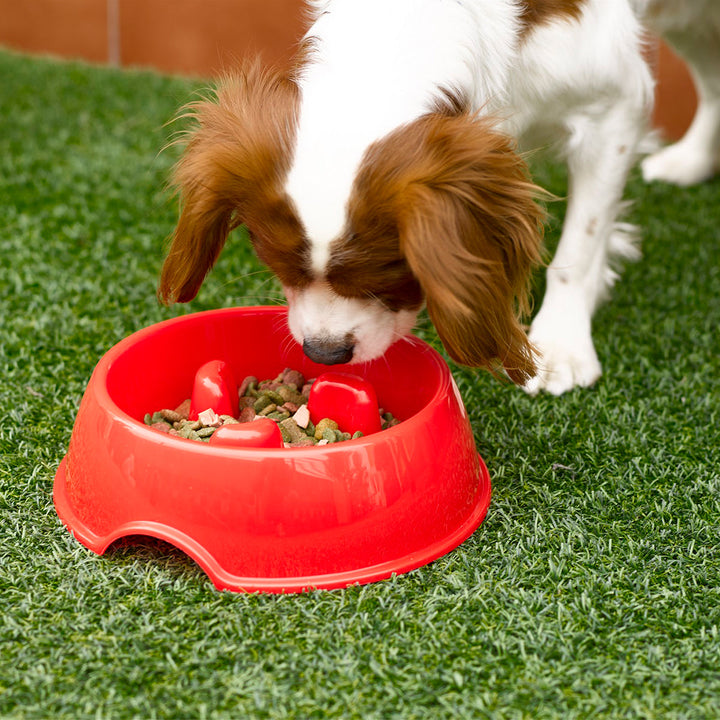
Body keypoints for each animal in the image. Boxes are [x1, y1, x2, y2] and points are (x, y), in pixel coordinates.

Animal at [159, 0, 708, 394]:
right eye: (277, 267)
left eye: (389, 275)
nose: (324, 354)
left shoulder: (615, 102)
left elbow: (582, 244)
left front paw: (560, 347)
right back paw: (692, 161)